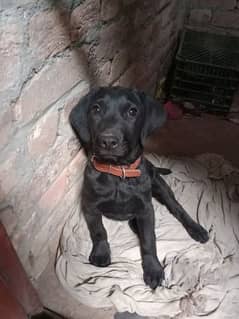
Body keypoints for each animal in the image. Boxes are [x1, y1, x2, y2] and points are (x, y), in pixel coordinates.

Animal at [69, 87, 209, 290]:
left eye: (132, 111)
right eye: (96, 109)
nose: (108, 141)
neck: (118, 173)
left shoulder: (146, 209)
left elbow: (149, 240)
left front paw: (153, 269)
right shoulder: (90, 205)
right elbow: (98, 230)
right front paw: (101, 252)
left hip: (160, 186)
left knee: (177, 208)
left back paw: (196, 228)